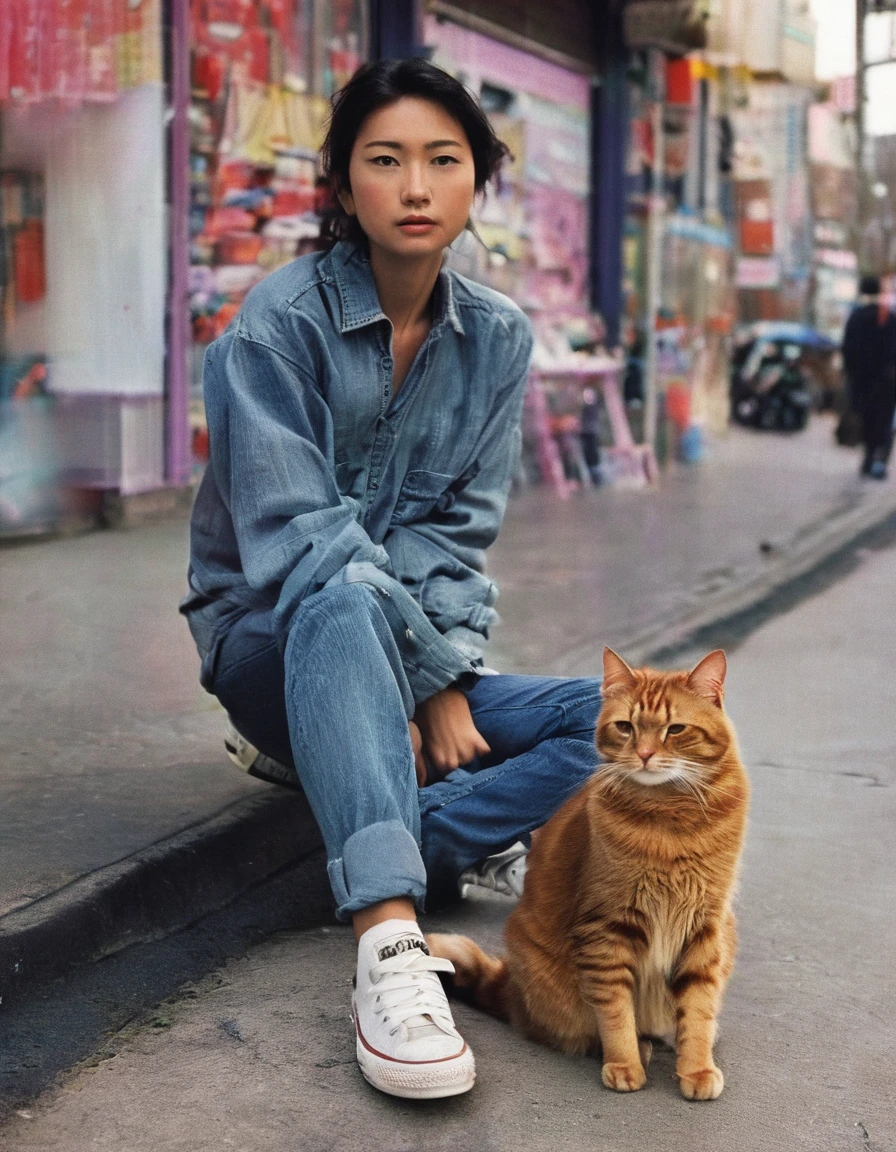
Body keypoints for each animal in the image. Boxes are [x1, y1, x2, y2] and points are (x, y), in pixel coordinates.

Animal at [426, 645, 746, 1101]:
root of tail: (514, 991)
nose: (645, 754)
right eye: (626, 727)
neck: (671, 819)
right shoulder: (608, 928)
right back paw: (637, 1047)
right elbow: (614, 1010)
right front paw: (625, 1063)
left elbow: (699, 1004)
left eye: (676, 730)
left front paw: (697, 1067)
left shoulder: (706, 925)